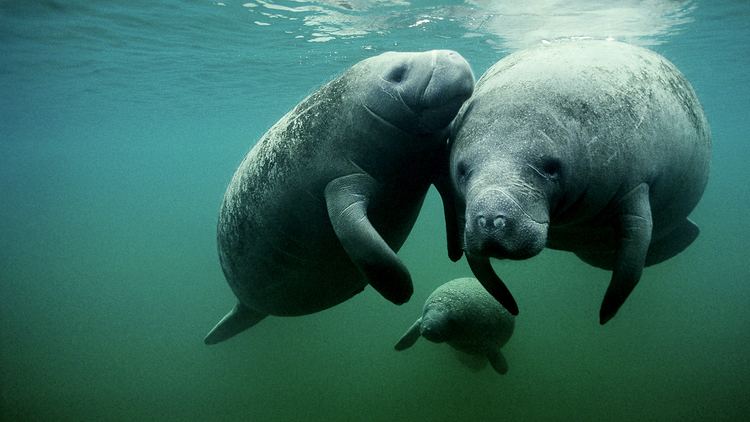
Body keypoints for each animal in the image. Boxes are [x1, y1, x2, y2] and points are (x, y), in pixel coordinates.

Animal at [206, 51, 476, 344]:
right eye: (398, 73)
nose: (453, 55)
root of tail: (245, 306)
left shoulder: (434, 155)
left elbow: (450, 195)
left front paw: (455, 250)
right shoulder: (338, 183)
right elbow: (361, 241)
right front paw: (402, 290)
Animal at [444, 39, 712, 324]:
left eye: (551, 168)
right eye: (463, 171)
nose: (489, 220)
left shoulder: (636, 186)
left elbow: (631, 264)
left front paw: (606, 314)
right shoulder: (460, 205)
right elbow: (480, 268)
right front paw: (510, 304)